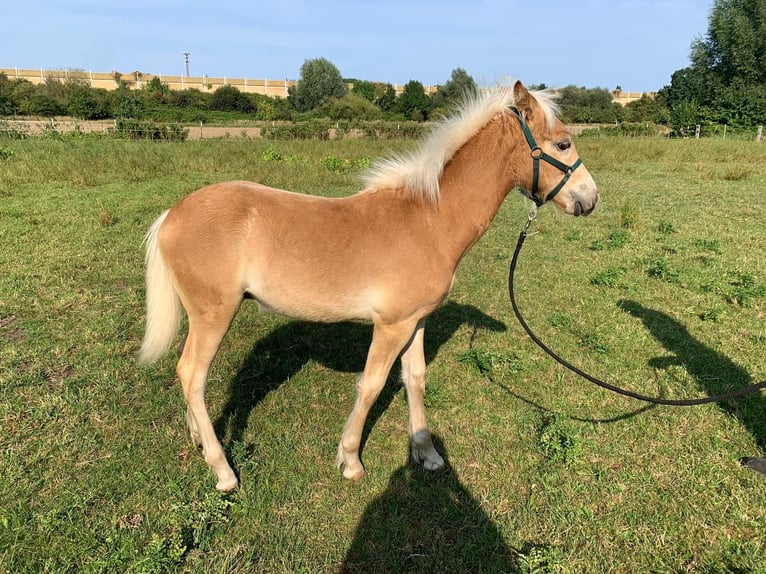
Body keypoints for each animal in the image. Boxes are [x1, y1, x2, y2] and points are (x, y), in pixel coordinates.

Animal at [141, 82, 604, 496]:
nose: (590, 198)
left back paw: (199, 442)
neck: (431, 220)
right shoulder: (391, 325)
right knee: (192, 375)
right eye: (563, 143)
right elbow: (372, 385)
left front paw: (427, 453)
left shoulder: (416, 322)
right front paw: (350, 460)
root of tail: (171, 215)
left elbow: (414, 379)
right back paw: (223, 471)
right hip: (214, 314)